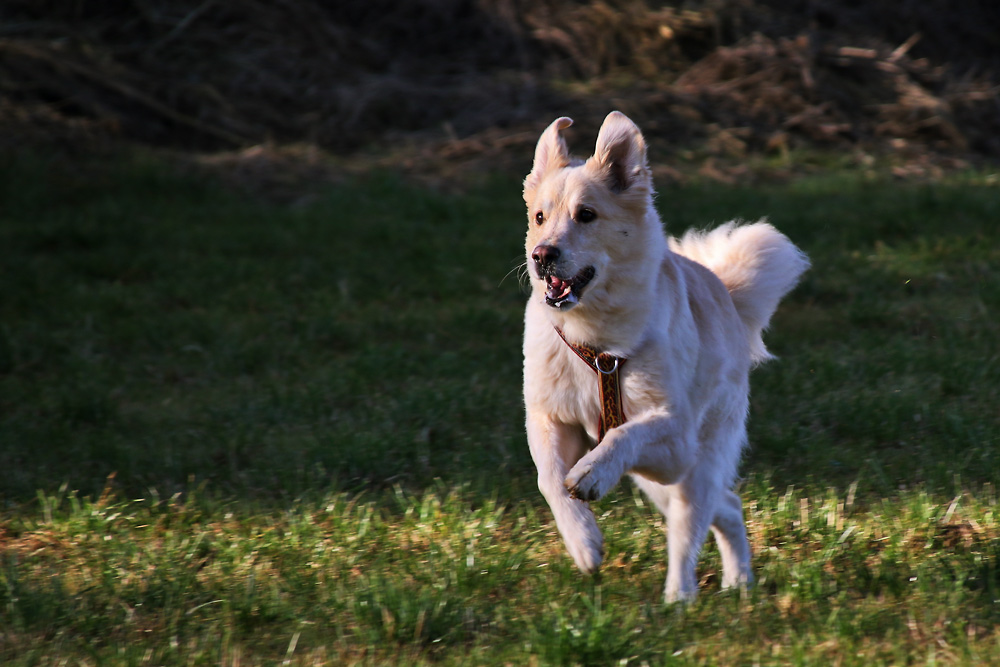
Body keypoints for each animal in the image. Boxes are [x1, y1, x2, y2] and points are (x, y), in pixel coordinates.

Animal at [520, 112, 808, 604]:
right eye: (540, 217)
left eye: (586, 215)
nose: (542, 256)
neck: (594, 340)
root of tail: (727, 296)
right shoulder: (549, 418)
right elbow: (549, 480)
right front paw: (584, 543)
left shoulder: (676, 437)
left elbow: (623, 435)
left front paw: (592, 474)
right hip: (662, 481)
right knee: (727, 505)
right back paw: (739, 583)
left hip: (690, 467)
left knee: (691, 527)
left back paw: (680, 598)